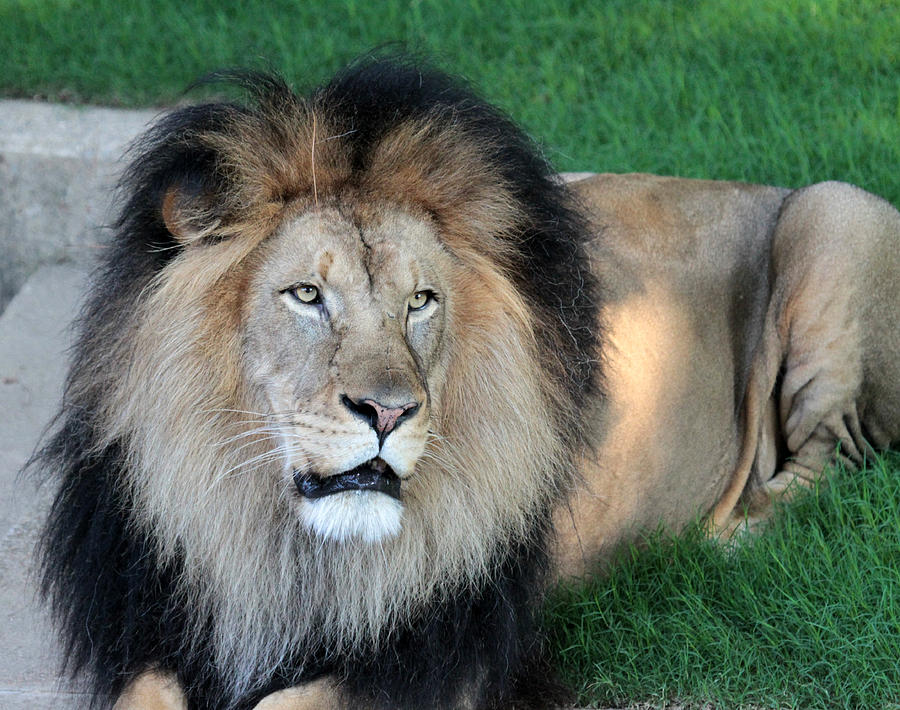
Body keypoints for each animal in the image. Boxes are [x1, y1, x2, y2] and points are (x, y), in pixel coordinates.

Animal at [37, 57, 900, 710]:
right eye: (307, 296)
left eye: (421, 301)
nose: (388, 412)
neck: (272, 534)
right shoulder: (150, 619)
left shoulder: (450, 652)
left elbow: (295, 701)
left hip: (834, 212)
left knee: (836, 457)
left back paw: (723, 541)